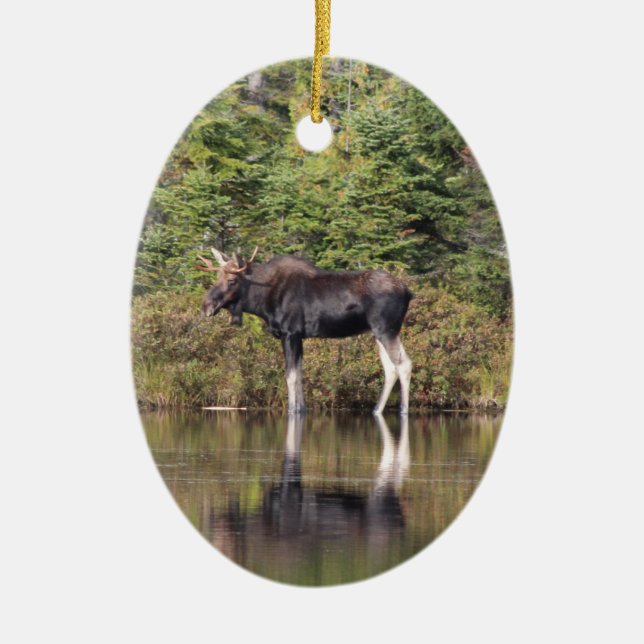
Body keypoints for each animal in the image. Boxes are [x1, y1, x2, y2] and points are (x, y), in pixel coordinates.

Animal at [196, 246, 413, 415]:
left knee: (404, 364)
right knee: (390, 368)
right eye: (217, 276)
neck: (261, 301)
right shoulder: (299, 336)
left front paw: (293, 410)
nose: (206, 306)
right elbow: (299, 374)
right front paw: (301, 409)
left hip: (386, 329)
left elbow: (290, 375)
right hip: (377, 332)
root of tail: (408, 292)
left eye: (232, 280)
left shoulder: (290, 332)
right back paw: (377, 410)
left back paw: (403, 410)